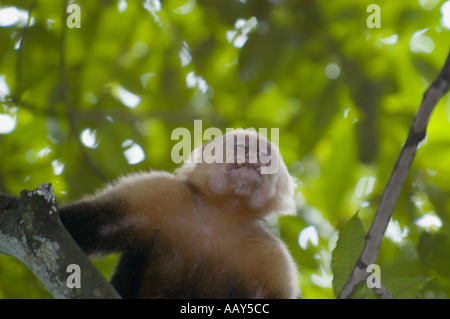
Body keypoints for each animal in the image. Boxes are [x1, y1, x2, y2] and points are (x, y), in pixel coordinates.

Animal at [2, 131, 302, 300]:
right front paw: (9, 203)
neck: (219, 216)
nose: (255, 156)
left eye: (266, 154)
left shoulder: (270, 254)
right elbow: (87, 227)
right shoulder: (161, 193)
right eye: (241, 146)